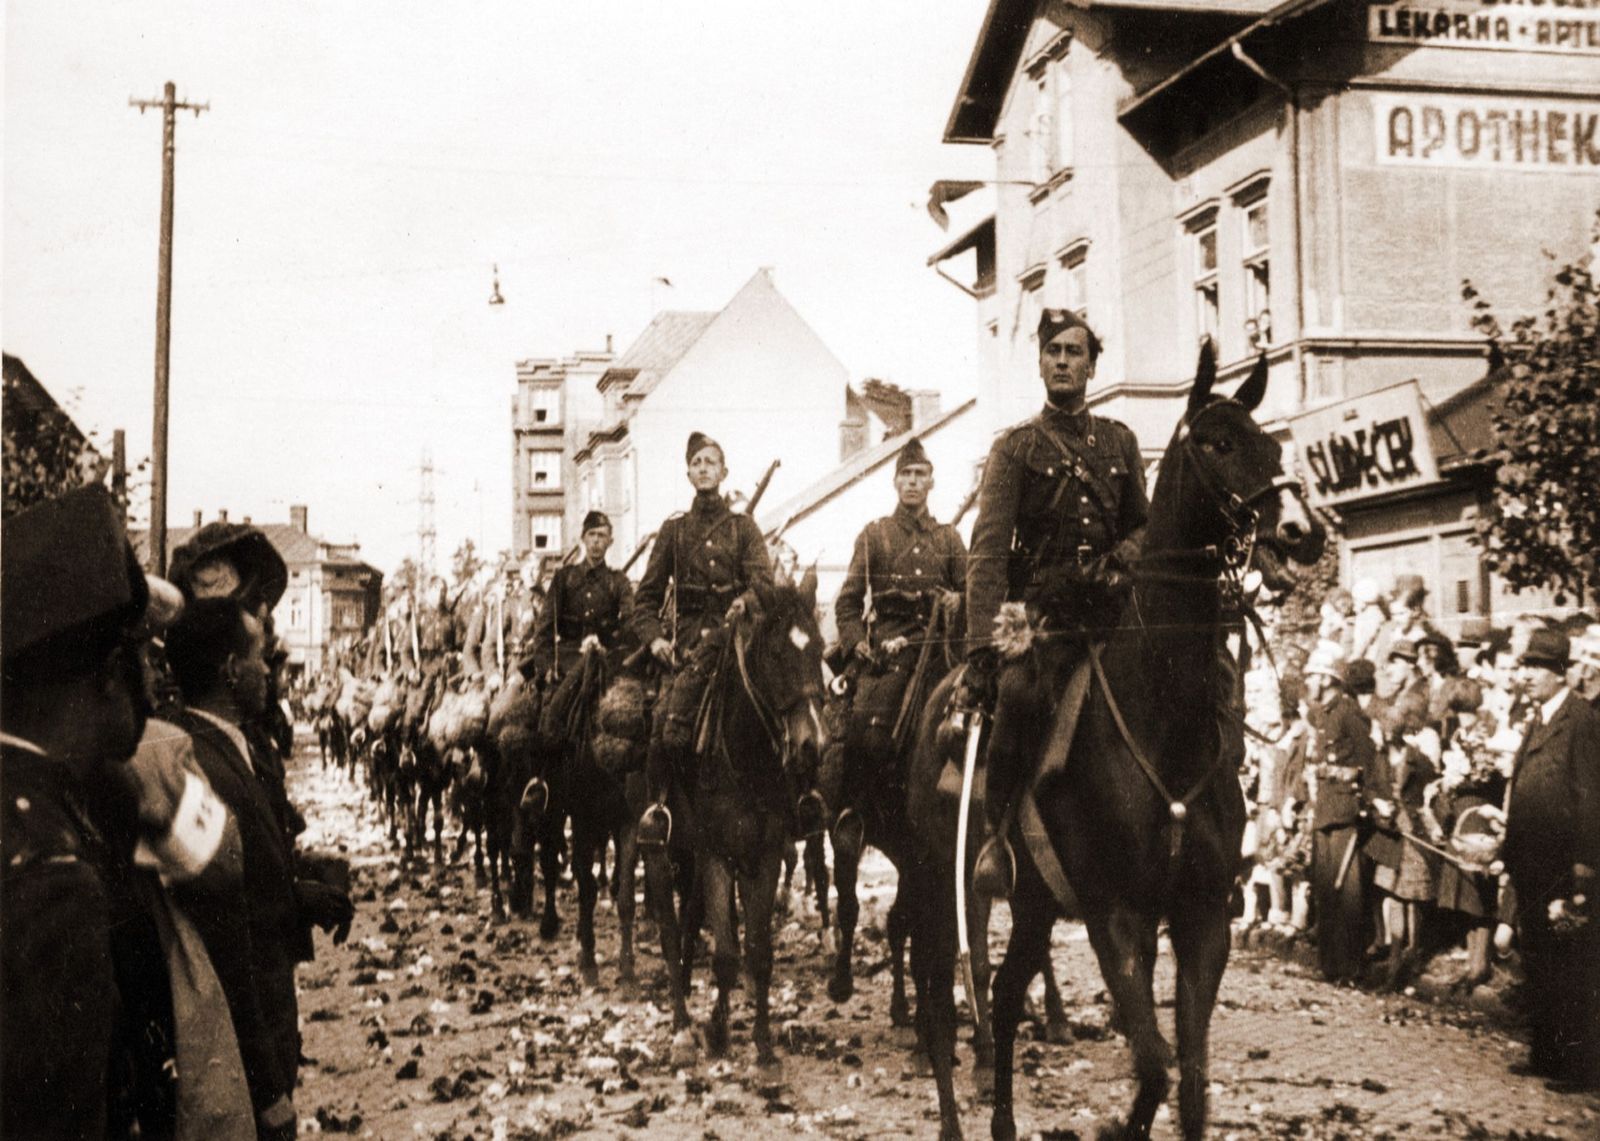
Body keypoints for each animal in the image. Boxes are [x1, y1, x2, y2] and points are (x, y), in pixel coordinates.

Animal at [646, 579, 825, 1068]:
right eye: (777, 655)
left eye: (820, 649)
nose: (812, 745)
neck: (747, 757)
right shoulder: (716, 855)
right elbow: (726, 953)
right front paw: (718, 1033)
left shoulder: (765, 854)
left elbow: (758, 952)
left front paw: (763, 1046)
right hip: (655, 844)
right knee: (669, 931)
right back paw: (681, 1026)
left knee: (691, 920)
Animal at [908, 347, 1331, 1139]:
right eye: (1217, 443)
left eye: (1271, 444)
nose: (1301, 530)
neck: (1164, 723)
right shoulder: (1117, 918)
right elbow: (1155, 1063)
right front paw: (1118, 1123)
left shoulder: (1201, 918)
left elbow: (1189, 1077)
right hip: (938, 885)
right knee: (940, 999)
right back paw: (952, 1112)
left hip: (1035, 905)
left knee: (1004, 998)